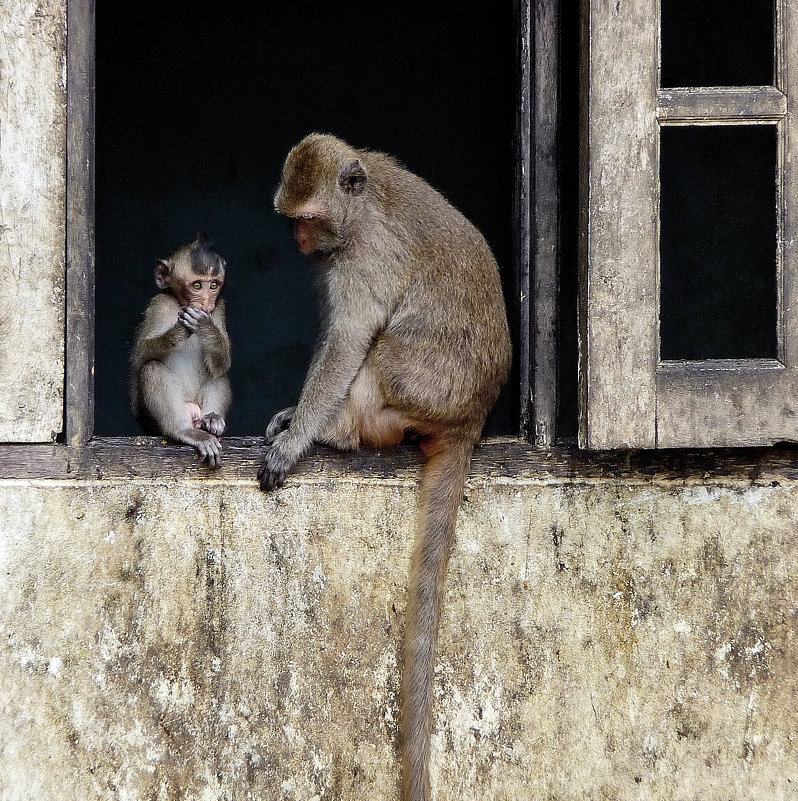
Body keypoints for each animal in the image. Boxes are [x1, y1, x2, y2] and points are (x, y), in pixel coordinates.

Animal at [130, 234, 231, 466]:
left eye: (214, 285)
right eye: (197, 285)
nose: (206, 302)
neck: (179, 303)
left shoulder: (219, 309)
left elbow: (222, 363)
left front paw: (205, 327)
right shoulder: (159, 306)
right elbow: (141, 357)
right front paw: (180, 331)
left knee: (218, 373)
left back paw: (211, 420)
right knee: (152, 368)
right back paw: (183, 430)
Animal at [260, 134, 512, 796]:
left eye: (307, 219)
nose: (299, 241)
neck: (360, 203)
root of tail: (472, 417)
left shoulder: (363, 259)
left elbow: (349, 339)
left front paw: (298, 438)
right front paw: (294, 417)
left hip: (427, 386)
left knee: (382, 352)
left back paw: (343, 434)